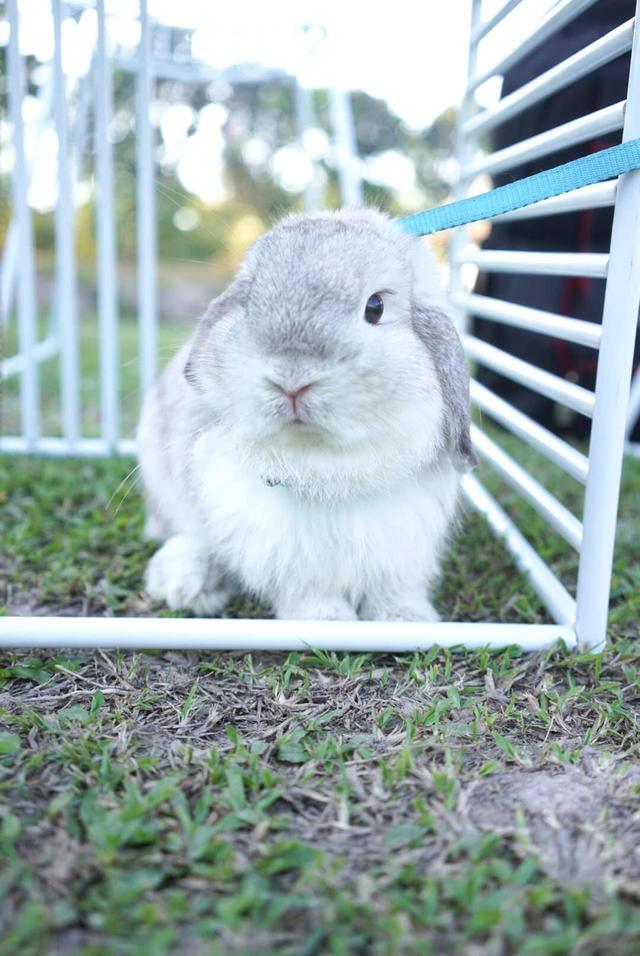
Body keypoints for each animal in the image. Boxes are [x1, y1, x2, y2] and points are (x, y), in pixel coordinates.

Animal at [136, 207, 476, 620]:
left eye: (375, 307)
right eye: (249, 300)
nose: (291, 380)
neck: (323, 463)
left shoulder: (403, 546)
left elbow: (395, 588)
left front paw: (405, 619)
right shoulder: (285, 556)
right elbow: (309, 593)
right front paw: (326, 621)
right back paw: (186, 582)